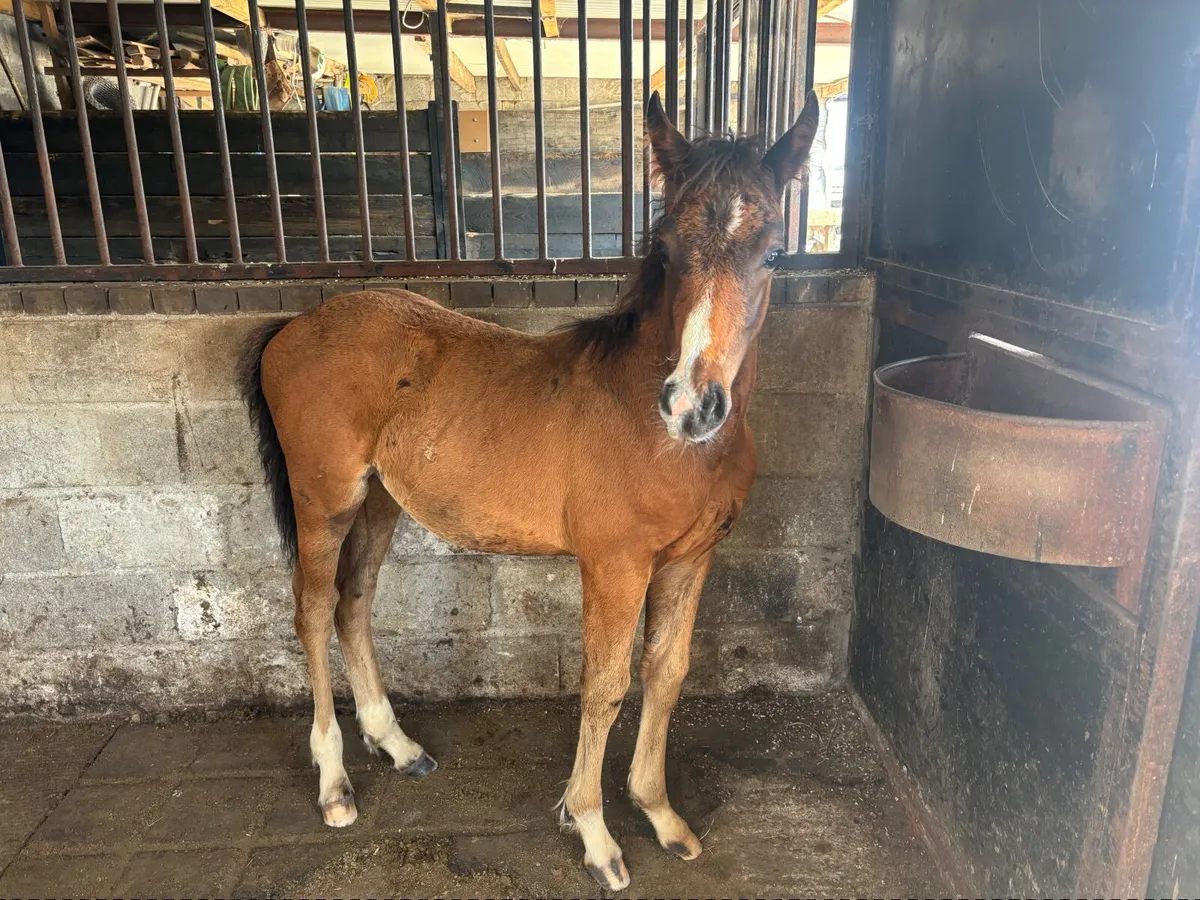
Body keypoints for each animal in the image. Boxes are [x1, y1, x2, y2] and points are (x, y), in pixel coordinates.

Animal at [238, 89, 819, 891]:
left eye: (773, 254)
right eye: (667, 249)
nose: (690, 405)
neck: (659, 432)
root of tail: (293, 324)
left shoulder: (690, 560)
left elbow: (666, 673)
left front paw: (661, 815)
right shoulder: (614, 566)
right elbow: (605, 685)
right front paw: (595, 834)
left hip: (381, 502)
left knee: (354, 603)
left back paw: (400, 745)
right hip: (324, 499)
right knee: (313, 610)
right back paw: (333, 783)